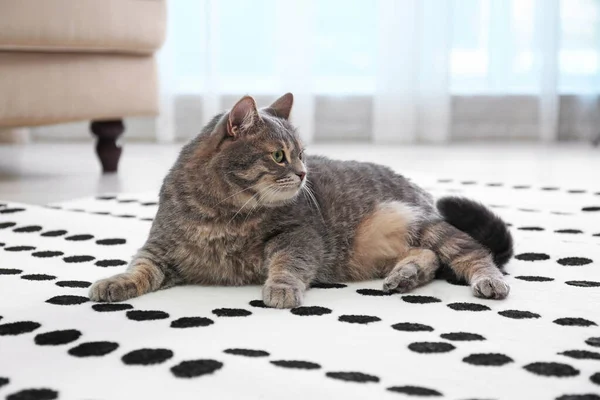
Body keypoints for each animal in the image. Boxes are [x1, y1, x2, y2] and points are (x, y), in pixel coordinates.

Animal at [88, 92, 510, 308]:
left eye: (302, 154)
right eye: (279, 155)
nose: (304, 172)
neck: (221, 214)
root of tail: (421, 192)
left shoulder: (299, 236)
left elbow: (289, 263)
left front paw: (280, 288)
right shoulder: (159, 247)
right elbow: (139, 267)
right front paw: (114, 282)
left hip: (420, 222)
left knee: (472, 253)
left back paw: (487, 282)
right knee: (429, 258)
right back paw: (404, 276)